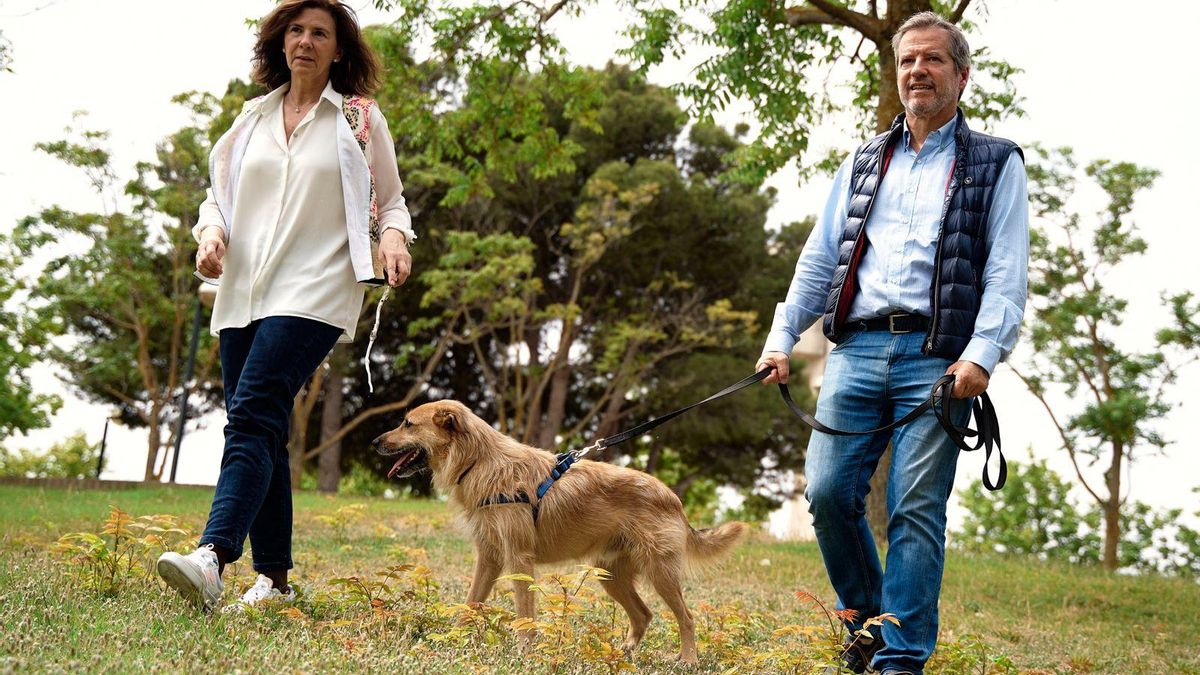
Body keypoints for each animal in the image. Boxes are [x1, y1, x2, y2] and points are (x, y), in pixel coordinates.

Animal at [372, 396, 748, 658]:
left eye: (407, 423)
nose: (374, 442)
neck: (481, 460)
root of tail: (673, 499)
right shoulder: (489, 559)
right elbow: (470, 604)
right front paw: (454, 638)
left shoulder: (519, 559)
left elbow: (525, 613)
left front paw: (525, 653)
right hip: (611, 576)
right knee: (643, 615)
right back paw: (624, 655)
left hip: (660, 573)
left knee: (687, 617)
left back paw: (688, 660)